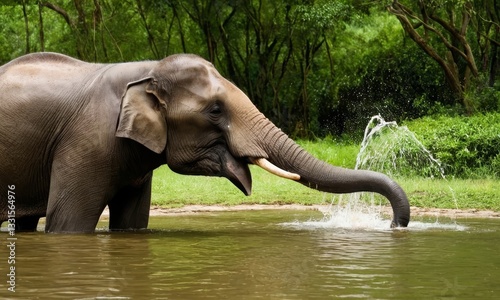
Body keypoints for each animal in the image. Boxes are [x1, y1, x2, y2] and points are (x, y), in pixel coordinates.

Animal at [0, 52, 410, 233]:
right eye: (215, 110)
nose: (393, 225)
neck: (146, 69)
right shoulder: (85, 142)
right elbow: (68, 224)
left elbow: (132, 223)